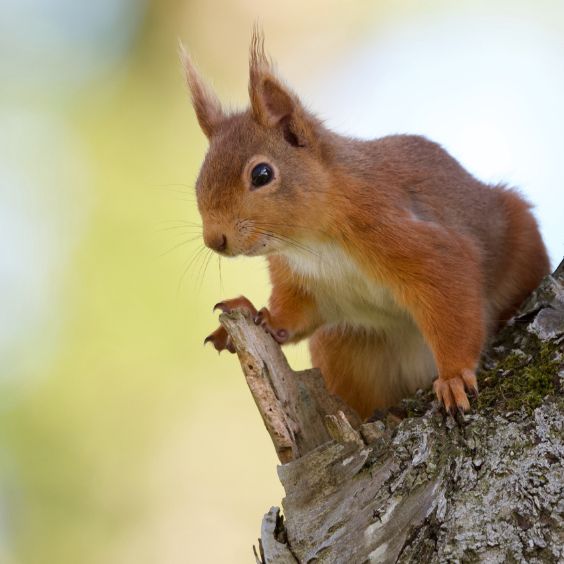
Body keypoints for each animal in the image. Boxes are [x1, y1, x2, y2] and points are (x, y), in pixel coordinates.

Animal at [180, 32, 548, 418]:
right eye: (200, 179)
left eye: (262, 174)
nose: (214, 239)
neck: (311, 242)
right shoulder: (300, 280)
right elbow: (294, 315)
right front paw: (259, 314)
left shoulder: (410, 236)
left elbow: (452, 300)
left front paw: (454, 378)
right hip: (343, 347)